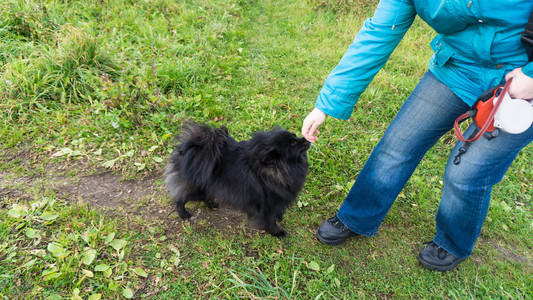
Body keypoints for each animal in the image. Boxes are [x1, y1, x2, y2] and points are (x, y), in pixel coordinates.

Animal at [164, 122, 310, 237]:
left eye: (294, 136)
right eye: (293, 143)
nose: (307, 139)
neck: (275, 168)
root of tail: (188, 148)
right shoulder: (270, 203)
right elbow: (270, 220)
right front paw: (276, 232)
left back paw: (212, 205)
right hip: (197, 190)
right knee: (180, 198)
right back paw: (184, 214)